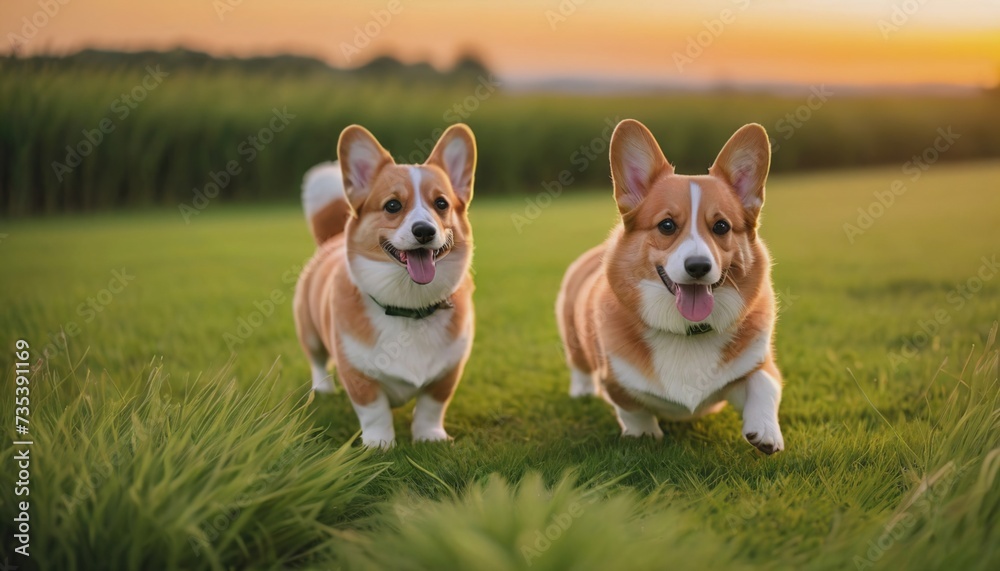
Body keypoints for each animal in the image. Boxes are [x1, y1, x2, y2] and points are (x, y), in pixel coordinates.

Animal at [292, 125, 476, 452]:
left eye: (441, 204)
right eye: (393, 205)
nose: (424, 231)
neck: (409, 308)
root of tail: (331, 240)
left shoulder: (448, 372)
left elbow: (431, 407)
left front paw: (430, 437)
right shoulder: (357, 373)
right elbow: (374, 411)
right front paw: (379, 444)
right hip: (310, 331)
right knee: (317, 360)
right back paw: (323, 388)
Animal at [560, 120, 784, 456]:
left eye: (721, 226)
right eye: (666, 225)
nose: (698, 266)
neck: (687, 332)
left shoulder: (760, 364)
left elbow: (765, 384)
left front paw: (766, 432)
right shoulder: (615, 379)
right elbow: (632, 407)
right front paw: (644, 435)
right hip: (572, 334)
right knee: (579, 365)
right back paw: (582, 391)